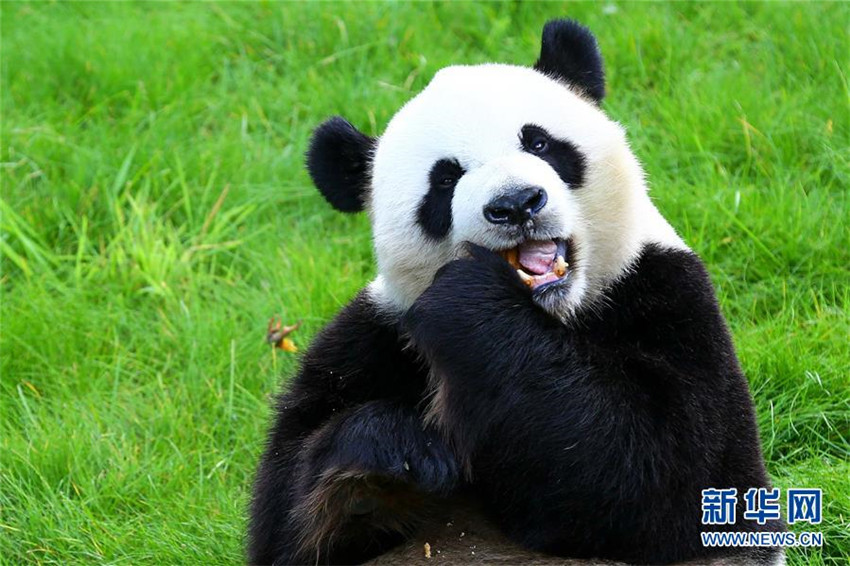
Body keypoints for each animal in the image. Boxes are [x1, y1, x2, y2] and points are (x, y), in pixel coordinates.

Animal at [248, 19, 785, 566]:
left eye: (540, 144)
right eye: (445, 179)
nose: (516, 204)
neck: (552, 318)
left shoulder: (666, 294)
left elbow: (671, 474)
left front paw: (469, 302)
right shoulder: (376, 336)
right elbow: (283, 515)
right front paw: (395, 459)